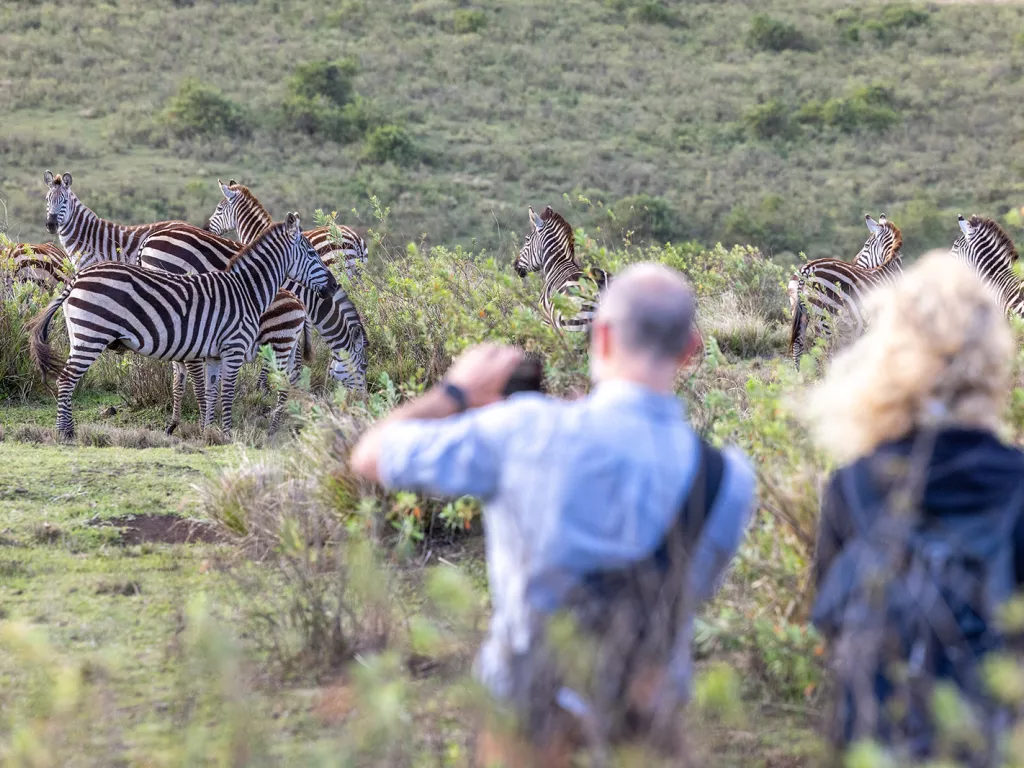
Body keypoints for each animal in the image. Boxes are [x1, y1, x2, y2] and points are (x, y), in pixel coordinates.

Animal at [28, 217, 335, 444]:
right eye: (311, 253)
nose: (333, 286)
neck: (246, 290)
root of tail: (78, 276)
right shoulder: (233, 348)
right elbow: (225, 391)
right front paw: (225, 434)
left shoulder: (213, 353)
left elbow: (210, 392)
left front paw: (207, 432)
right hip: (91, 335)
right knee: (66, 380)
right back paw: (66, 432)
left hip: (81, 335)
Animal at [786, 211, 901, 368]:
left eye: (866, 245)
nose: (854, 263)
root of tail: (807, 269)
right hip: (825, 319)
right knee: (823, 351)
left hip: (800, 313)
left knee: (798, 347)